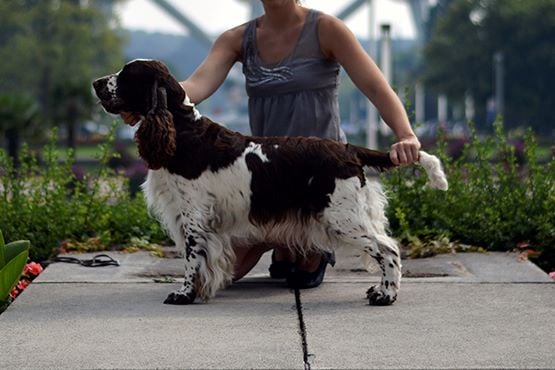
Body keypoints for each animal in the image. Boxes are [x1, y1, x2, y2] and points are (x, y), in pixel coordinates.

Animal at [91, 58, 448, 306]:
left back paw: (385, 296)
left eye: (126, 75)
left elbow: (192, 260)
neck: (182, 130)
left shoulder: (193, 217)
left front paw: (184, 294)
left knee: (388, 249)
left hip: (342, 217)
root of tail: (349, 150)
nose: (95, 82)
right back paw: (380, 289)